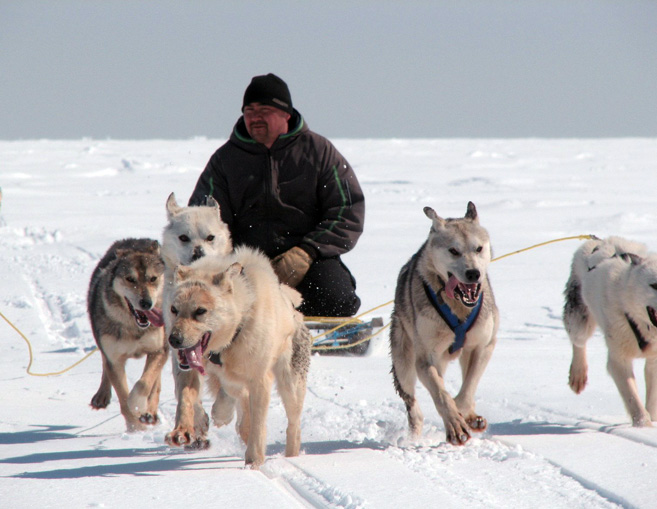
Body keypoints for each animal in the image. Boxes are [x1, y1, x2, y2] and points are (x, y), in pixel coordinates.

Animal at [88, 237, 167, 428]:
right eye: (130, 279)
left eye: (153, 278)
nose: (146, 303)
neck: (134, 327)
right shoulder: (115, 359)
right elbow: (123, 399)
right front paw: (135, 428)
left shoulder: (158, 350)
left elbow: (145, 383)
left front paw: (138, 405)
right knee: (104, 364)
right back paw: (101, 396)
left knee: (156, 382)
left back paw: (150, 413)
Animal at [163, 247, 308, 468]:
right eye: (174, 309)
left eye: (200, 311)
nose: (174, 339)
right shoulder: (187, 370)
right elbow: (185, 399)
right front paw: (183, 430)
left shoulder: (260, 380)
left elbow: (258, 424)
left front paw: (254, 460)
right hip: (233, 381)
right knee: (235, 402)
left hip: (290, 386)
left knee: (293, 425)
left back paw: (290, 456)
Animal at [390, 202, 498, 444]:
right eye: (454, 251)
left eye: (478, 248)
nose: (473, 273)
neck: (458, 305)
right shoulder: (425, 360)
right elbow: (441, 394)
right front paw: (455, 424)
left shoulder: (483, 346)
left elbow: (467, 389)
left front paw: (463, 413)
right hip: (404, 363)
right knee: (413, 405)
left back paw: (471, 416)